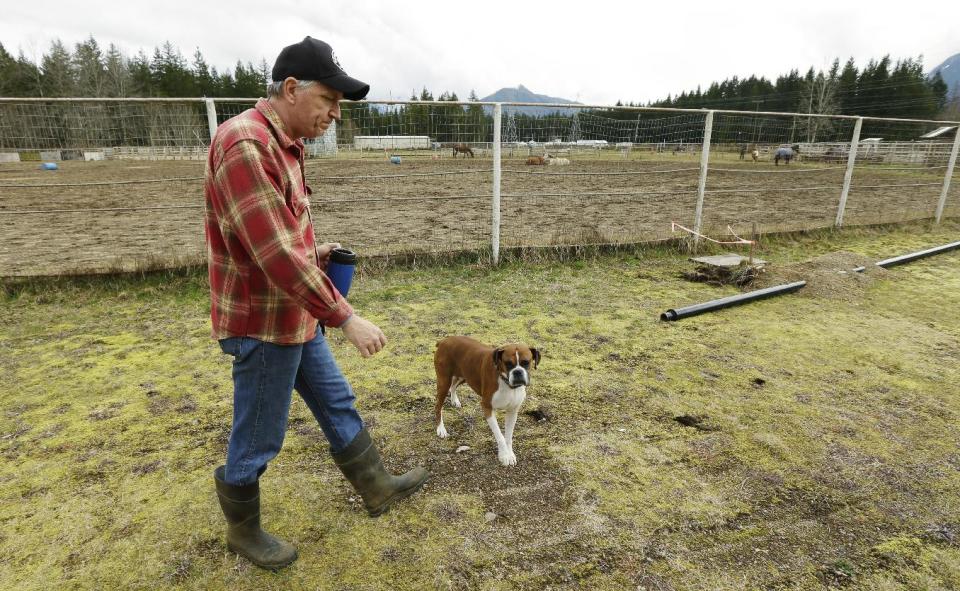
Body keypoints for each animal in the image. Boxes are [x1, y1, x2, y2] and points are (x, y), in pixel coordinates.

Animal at [434, 338, 540, 468]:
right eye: (508, 363)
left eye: (526, 362)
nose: (517, 372)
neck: (506, 383)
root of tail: (444, 340)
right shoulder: (487, 407)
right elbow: (500, 436)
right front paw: (504, 456)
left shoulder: (512, 411)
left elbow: (508, 436)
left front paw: (510, 454)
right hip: (444, 381)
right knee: (438, 406)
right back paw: (441, 429)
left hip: (465, 375)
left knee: (453, 385)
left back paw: (455, 400)